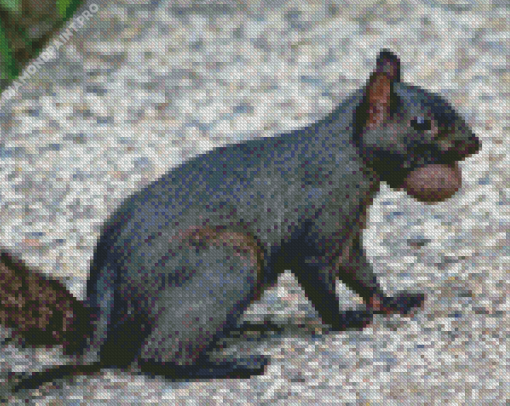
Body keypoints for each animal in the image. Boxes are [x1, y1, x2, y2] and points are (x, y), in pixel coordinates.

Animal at [0, 49, 478, 394]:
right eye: (421, 123)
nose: (474, 144)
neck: (349, 154)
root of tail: (105, 327)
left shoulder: (349, 232)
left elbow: (362, 275)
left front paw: (391, 302)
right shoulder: (321, 226)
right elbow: (322, 285)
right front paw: (344, 320)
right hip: (227, 260)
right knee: (157, 358)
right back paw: (234, 364)